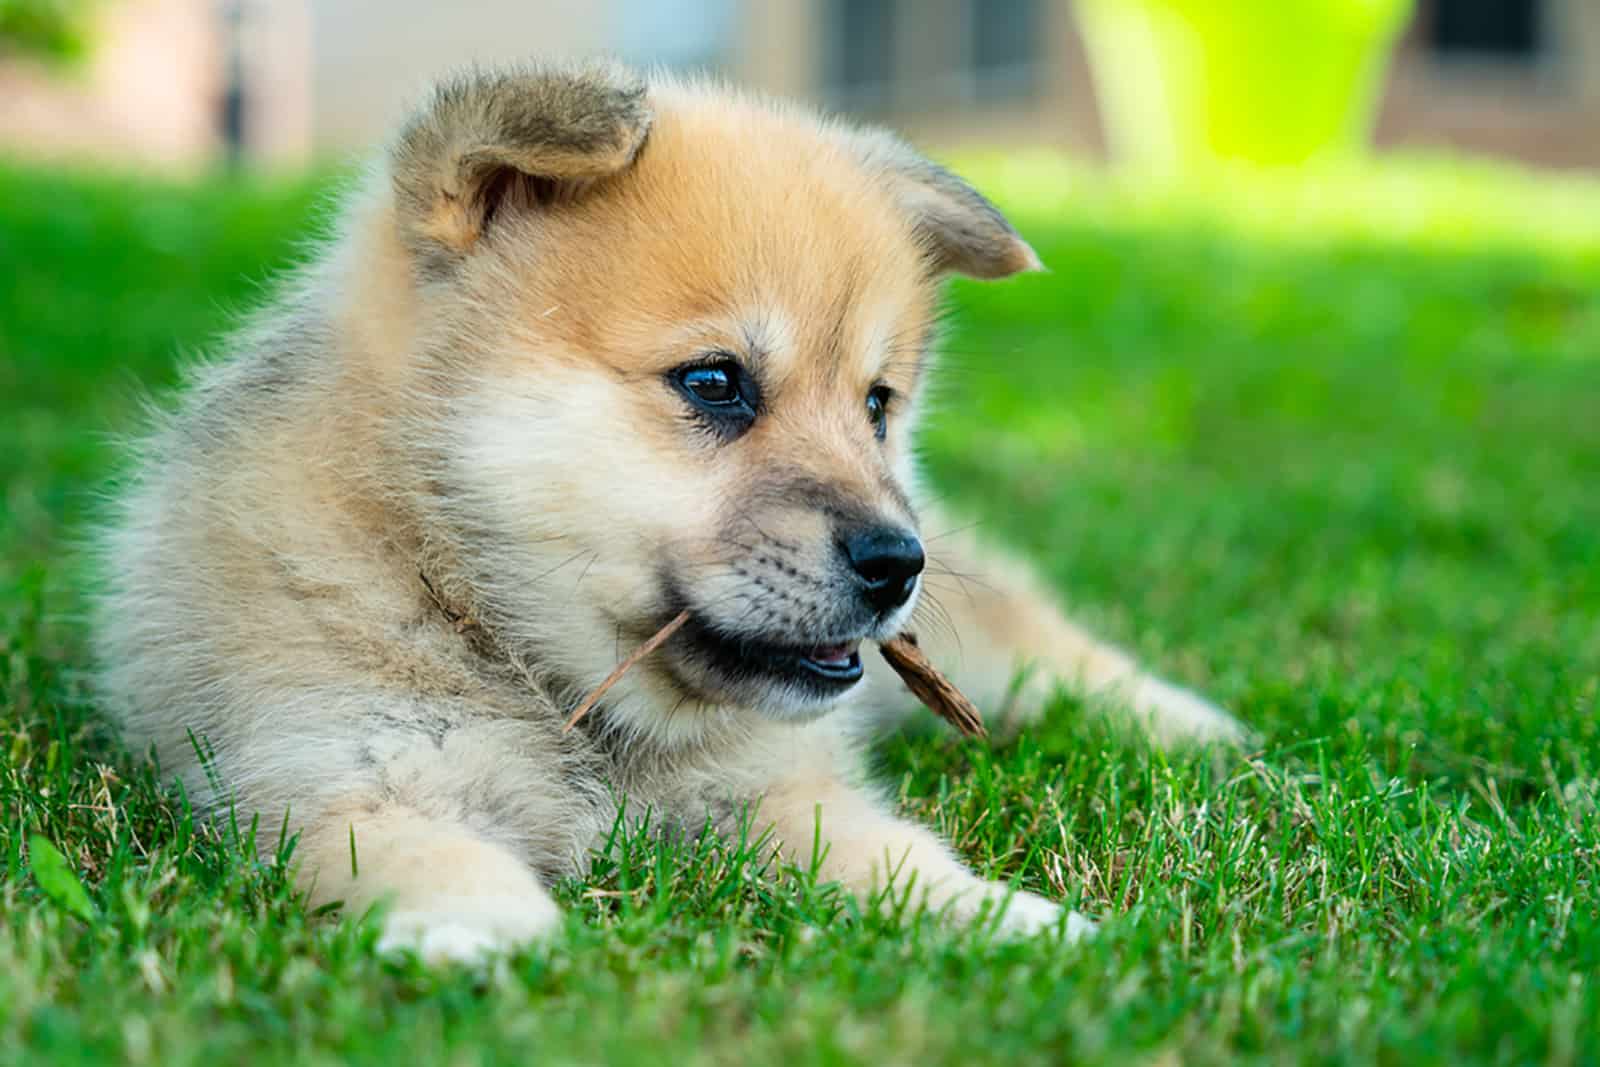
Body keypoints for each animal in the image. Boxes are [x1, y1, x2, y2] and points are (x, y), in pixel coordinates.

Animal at [93, 58, 1235, 966]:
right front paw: (484, 928)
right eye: (716, 382)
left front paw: (1013, 919)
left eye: (876, 404)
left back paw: (1197, 728)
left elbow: (896, 852)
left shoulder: (784, 787)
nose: (896, 561)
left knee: (1044, 649)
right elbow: (420, 849)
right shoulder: (328, 769)